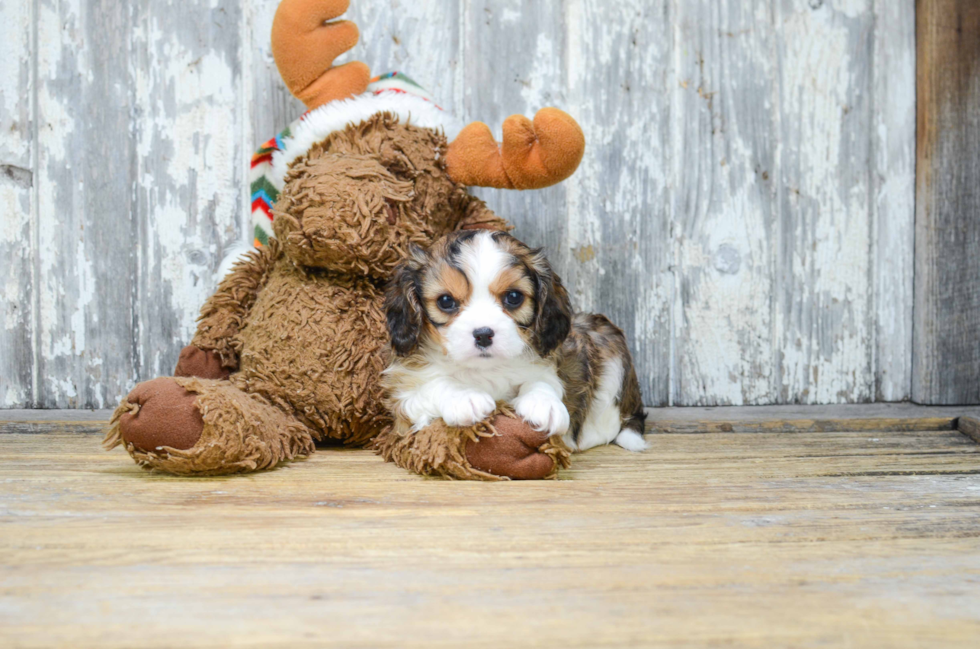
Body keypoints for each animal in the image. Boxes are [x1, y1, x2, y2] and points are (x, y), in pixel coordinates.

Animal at [384, 230, 652, 454]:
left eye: (513, 297)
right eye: (446, 301)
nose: (483, 334)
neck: (485, 369)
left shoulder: (549, 363)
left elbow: (542, 381)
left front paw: (544, 404)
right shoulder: (403, 399)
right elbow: (434, 384)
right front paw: (464, 397)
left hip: (609, 345)